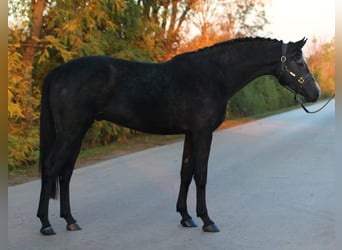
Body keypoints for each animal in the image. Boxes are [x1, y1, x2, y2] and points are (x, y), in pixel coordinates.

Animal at [36, 36, 320, 234]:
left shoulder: (190, 133)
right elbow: (201, 174)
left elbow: (186, 173)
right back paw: (45, 224)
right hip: (70, 131)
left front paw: (186, 217)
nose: (315, 92)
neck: (214, 75)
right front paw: (207, 220)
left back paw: (70, 220)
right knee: (51, 168)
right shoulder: (203, 132)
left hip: (77, 132)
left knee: (65, 172)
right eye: (298, 62)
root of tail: (57, 72)